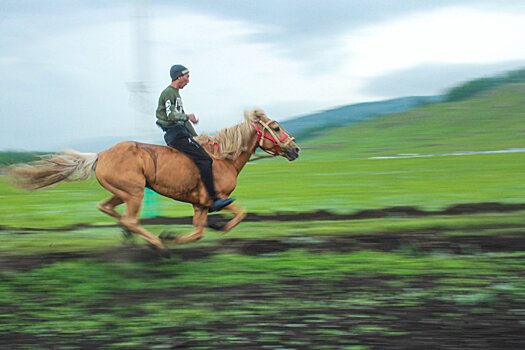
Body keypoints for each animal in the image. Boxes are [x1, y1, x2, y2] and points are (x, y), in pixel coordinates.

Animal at [6, 108, 298, 253]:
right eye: (275, 127)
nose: (295, 149)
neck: (223, 158)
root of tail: (101, 154)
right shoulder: (216, 199)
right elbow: (235, 216)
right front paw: (171, 237)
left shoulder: (200, 204)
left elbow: (201, 230)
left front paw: (206, 228)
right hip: (135, 193)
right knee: (131, 220)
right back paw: (157, 245)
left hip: (123, 191)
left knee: (108, 209)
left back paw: (131, 237)